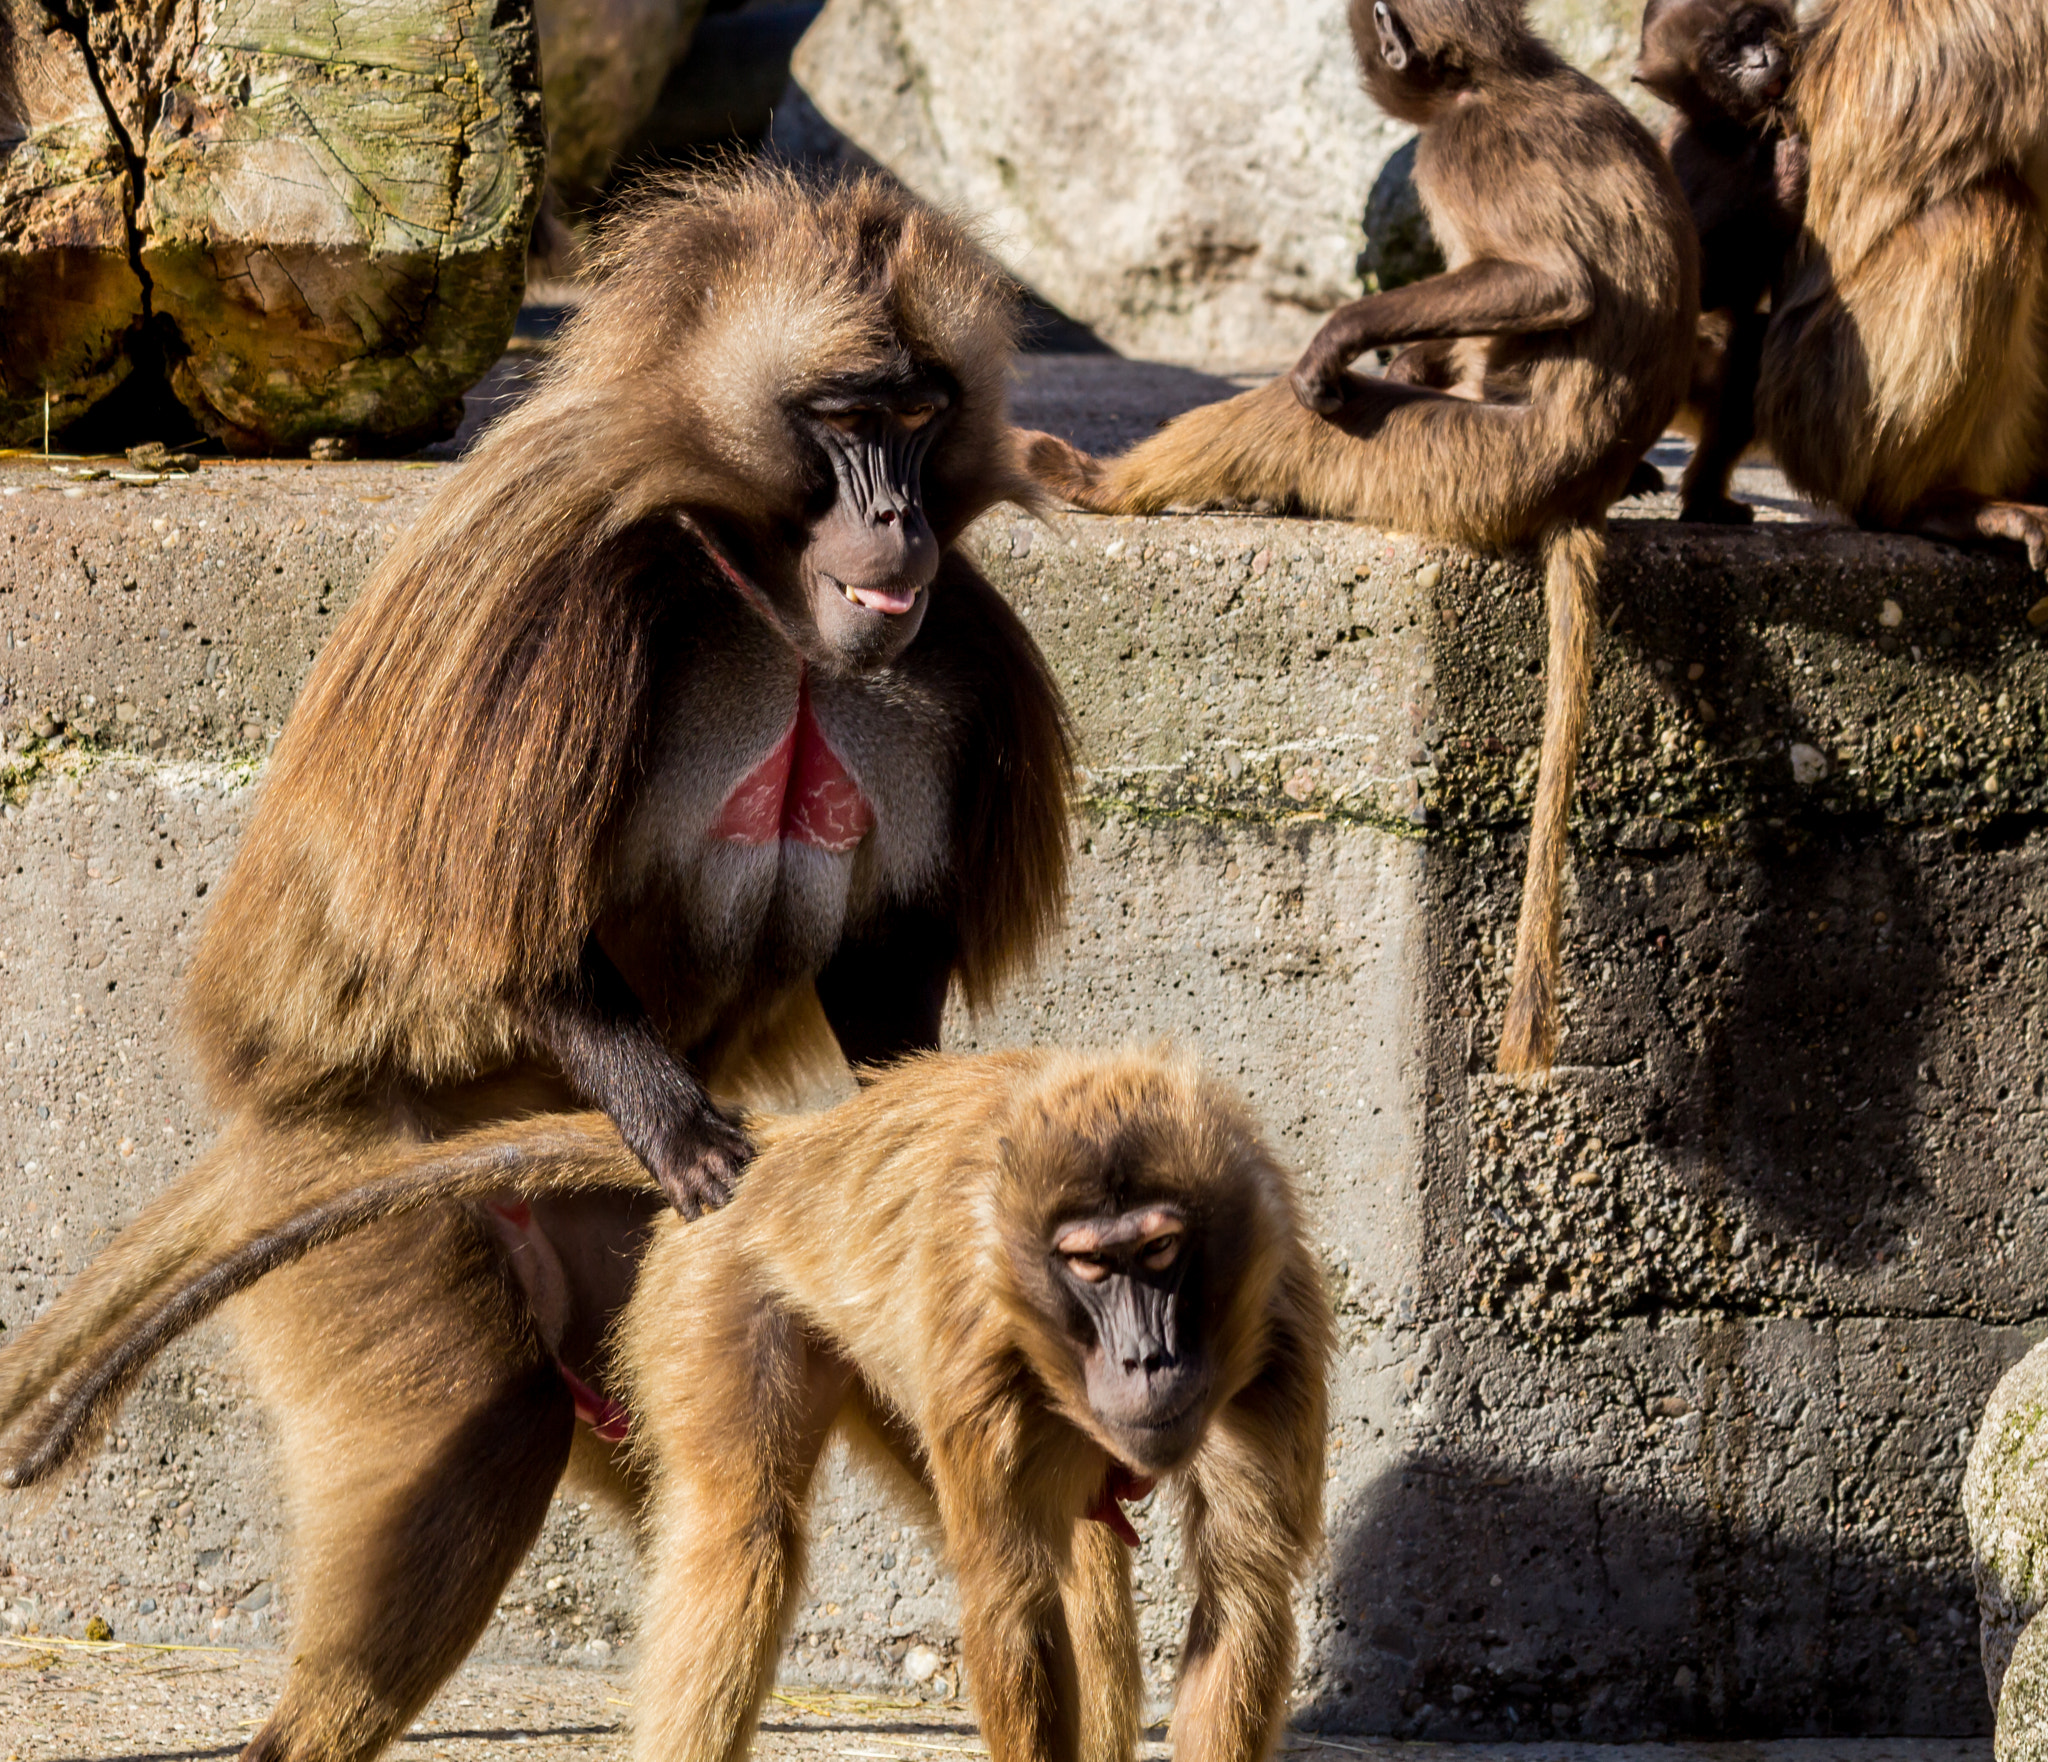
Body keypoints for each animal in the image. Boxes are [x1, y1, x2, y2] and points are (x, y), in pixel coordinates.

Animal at [0, 167, 1073, 1762]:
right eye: (841, 415)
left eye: (920, 411)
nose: (894, 516)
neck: (758, 596)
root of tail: (269, 1136)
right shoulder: (563, 608)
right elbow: (509, 930)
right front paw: (683, 1127)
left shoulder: (942, 676)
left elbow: (882, 991)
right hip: (384, 1201)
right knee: (488, 1428)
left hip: (630, 1273)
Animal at [0, 1047, 1336, 1762]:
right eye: (1091, 1267)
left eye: (1160, 1255)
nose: (1149, 1362)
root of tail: (779, 1152)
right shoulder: (970, 1331)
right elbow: (1008, 1599)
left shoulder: (1272, 1325)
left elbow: (1239, 1596)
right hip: (724, 1284)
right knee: (748, 1533)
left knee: (1081, 1555)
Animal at [1018, 0, 1699, 1076]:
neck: (1502, 77)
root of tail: (1575, 489)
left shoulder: (1452, 149)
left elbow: (1548, 284)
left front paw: (1340, 338)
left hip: (1457, 461)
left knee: (1307, 418)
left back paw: (1096, 481)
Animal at [1634, 0, 1806, 525]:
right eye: (1722, 59)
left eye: (1752, 31)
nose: (1758, 60)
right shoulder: (1694, 154)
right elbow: (1694, 283)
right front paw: (1782, 186)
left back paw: (1704, 500)